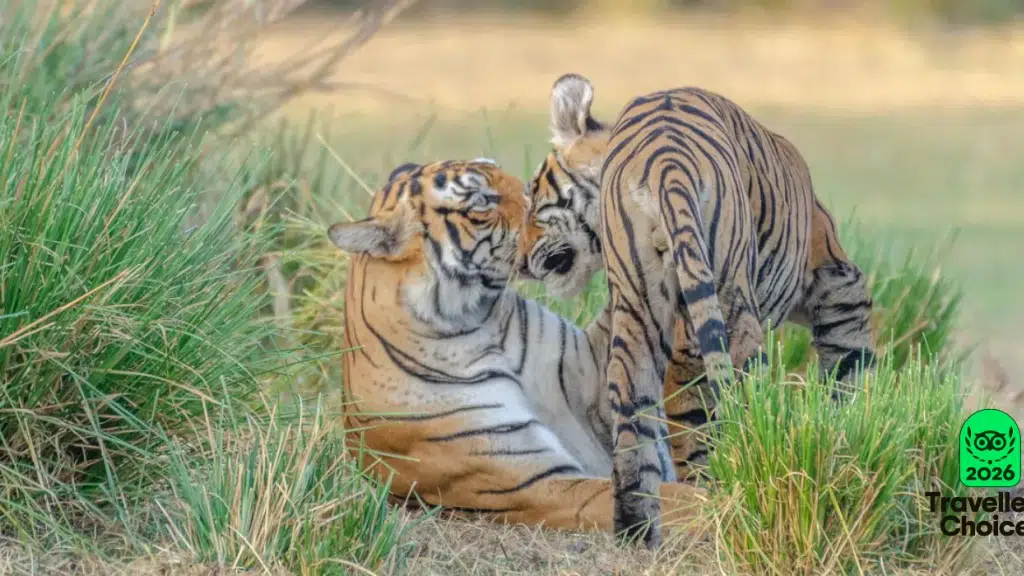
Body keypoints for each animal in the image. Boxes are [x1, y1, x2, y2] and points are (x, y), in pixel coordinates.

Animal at [326, 157, 709, 537]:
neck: (482, 323)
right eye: (482, 200)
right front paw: (717, 503)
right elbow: (669, 499)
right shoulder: (537, 481)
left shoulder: (592, 375)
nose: (544, 202)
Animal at [521, 74, 876, 549]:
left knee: (631, 400)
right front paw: (851, 423)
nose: (519, 261)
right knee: (720, 408)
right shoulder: (833, 274)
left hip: (640, 306)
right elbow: (850, 358)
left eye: (534, 202)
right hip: (727, 305)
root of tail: (664, 159)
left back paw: (637, 528)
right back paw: (733, 497)